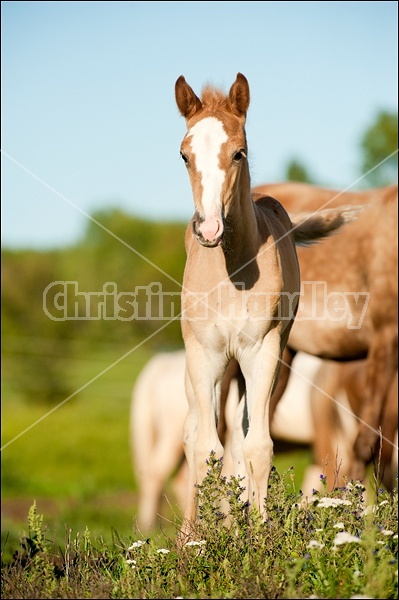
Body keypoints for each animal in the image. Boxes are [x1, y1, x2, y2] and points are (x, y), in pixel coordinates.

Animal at [174, 72, 360, 532]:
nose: (208, 228)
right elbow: (205, 448)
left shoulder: (263, 351)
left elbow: (256, 446)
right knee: (195, 432)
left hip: (263, 364)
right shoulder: (203, 354)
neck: (232, 273)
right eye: (184, 155)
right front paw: (201, 541)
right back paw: (191, 531)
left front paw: (257, 534)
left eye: (238, 152)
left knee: (241, 437)